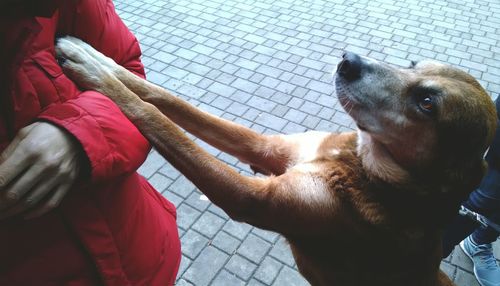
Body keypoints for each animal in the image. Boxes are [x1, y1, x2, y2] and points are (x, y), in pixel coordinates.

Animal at [54, 36, 496, 286]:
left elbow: (156, 119)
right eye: (412, 64)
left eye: (427, 103)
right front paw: (94, 56)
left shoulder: (252, 198)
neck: (360, 166)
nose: (347, 59)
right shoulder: (265, 149)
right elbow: (168, 101)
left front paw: (95, 74)